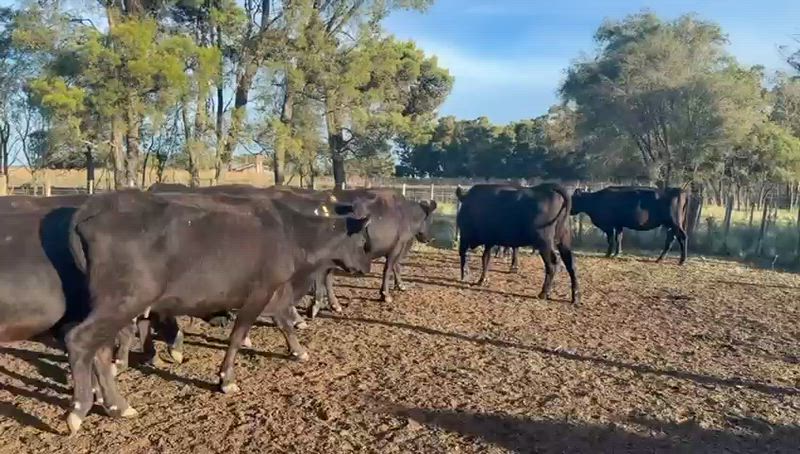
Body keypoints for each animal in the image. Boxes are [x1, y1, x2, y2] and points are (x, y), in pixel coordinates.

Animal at [63, 189, 374, 434]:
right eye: (362, 241)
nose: (367, 267)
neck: (292, 233)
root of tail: (95, 208)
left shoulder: (275, 292)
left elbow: (284, 320)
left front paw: (297, 350)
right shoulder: (259, 293)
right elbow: (238, 336)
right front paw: (227, 379)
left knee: (100, 349)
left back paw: (116, 405)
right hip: (124, 301)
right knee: (79, 340)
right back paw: (79, 409)